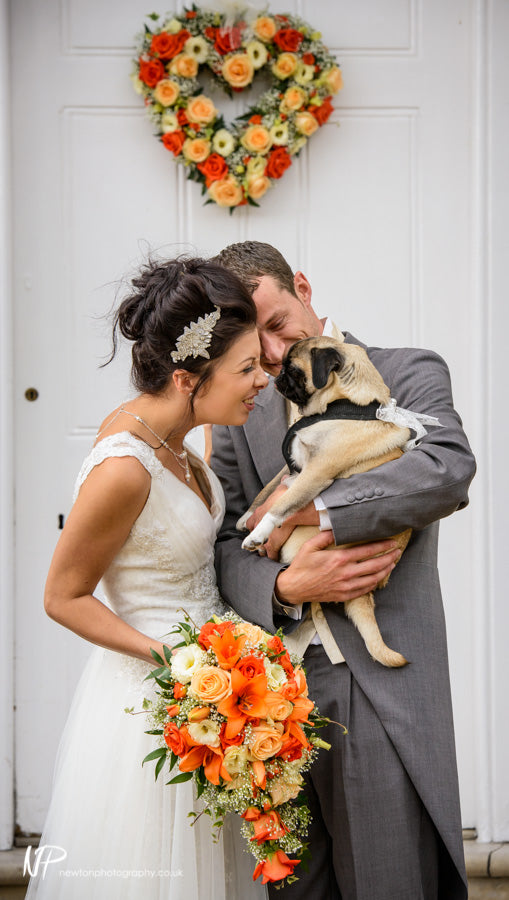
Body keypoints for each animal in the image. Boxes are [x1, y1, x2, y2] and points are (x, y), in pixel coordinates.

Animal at [238, 338, 412, 668]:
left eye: (293, 369)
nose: (277, 376)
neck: (341, 405)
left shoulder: (315, 472)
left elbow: (282, 505)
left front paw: (258, 533)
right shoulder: (295, 464)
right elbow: (268, 488)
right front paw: (247, 516)